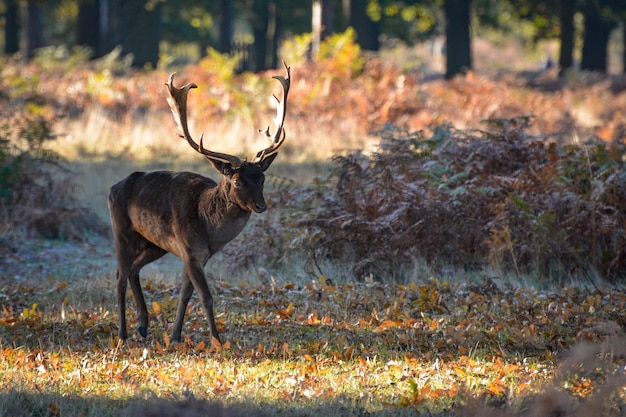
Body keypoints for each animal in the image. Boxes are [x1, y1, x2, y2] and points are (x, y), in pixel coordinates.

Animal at [108, 61, 290, 342]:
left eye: (262, 178)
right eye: (237, 181)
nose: (261, 206)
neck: (209, 228)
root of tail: (113, 188)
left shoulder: (199, 254)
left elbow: (186, 294)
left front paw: (175, 337)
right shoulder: (191, 249)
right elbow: (206, 296)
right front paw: (217, 340)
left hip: (154, 243)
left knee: (133, 270)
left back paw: (143, 326)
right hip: (121, 230)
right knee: (119, 276)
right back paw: (123, 333)